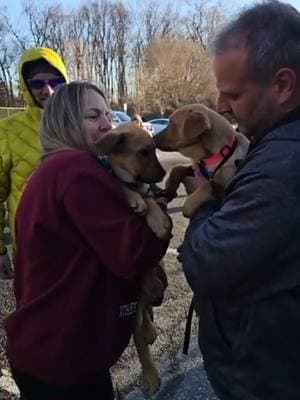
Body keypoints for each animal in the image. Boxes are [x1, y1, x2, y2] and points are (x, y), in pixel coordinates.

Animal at [96, 122, 171, 394]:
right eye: (143, 152)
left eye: (155, 149)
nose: (163, 175)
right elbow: (121, 188)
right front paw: (133, 198)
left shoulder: (149, 193)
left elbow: (151, 200)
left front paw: (158, 220)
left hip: (154, 281)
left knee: (144, 313)